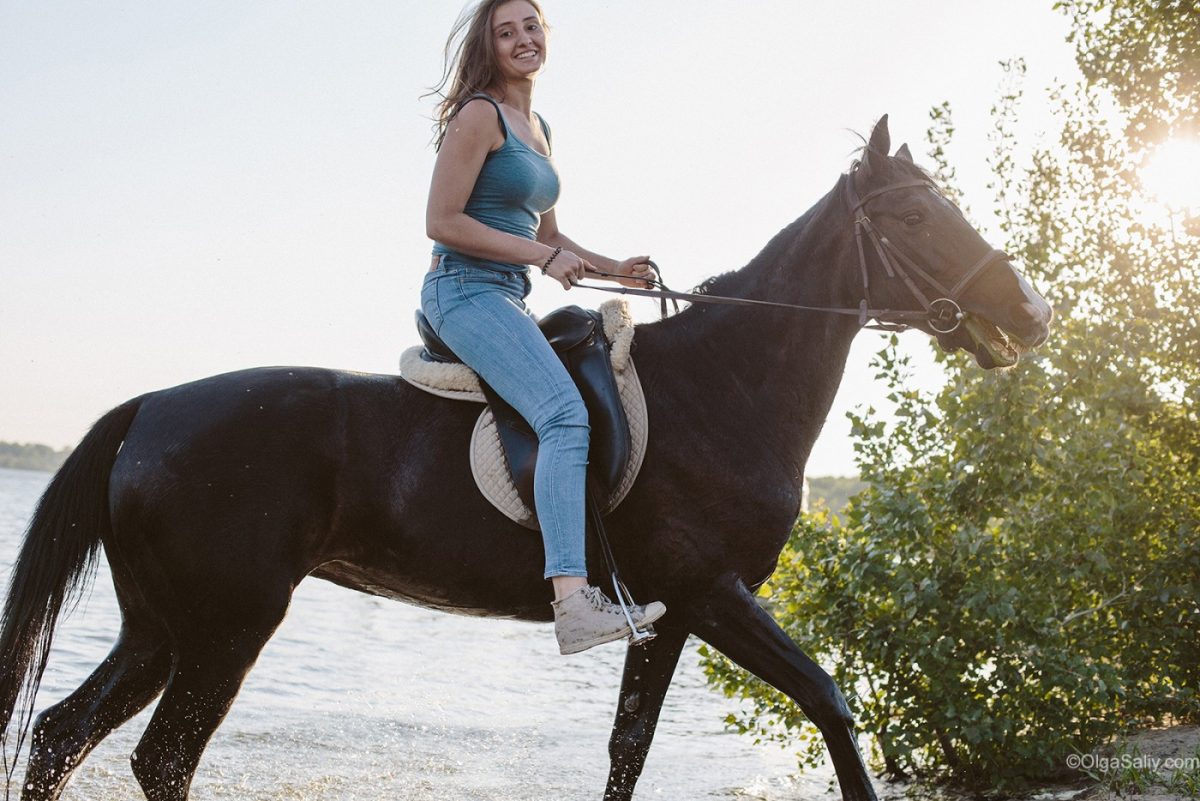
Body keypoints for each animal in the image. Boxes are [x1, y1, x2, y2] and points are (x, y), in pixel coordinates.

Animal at [0, 117, 1051, 801]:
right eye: (913, 219)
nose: (1031, 312)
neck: (725, 385)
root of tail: (150, 410)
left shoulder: (670, 620)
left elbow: (628, 753)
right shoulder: (713, 594)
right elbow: (832, 705)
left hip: (161, 626)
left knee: (60, 736)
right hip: (227, 624)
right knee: (160, 759)